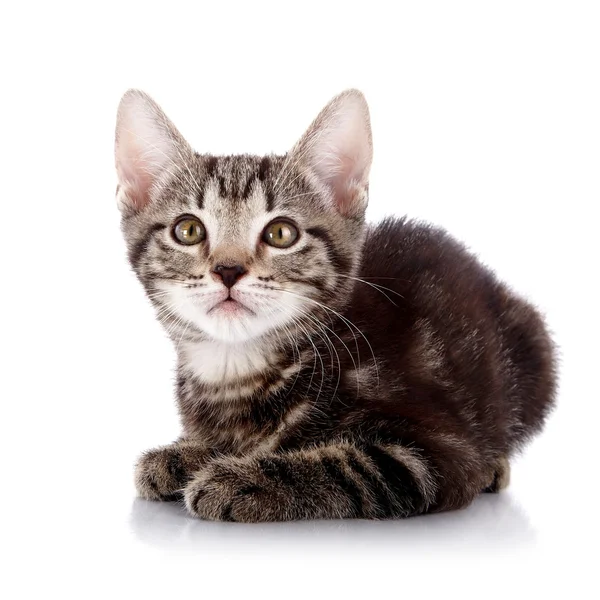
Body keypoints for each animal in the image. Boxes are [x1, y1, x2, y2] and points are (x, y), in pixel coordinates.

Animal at [115, 88, 556, 520]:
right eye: (188, 230)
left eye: (281, 233)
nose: (228, 269)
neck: (237, 370)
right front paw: (183, 454)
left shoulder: (439, 453)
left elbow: (346, 465)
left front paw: (240, 480)